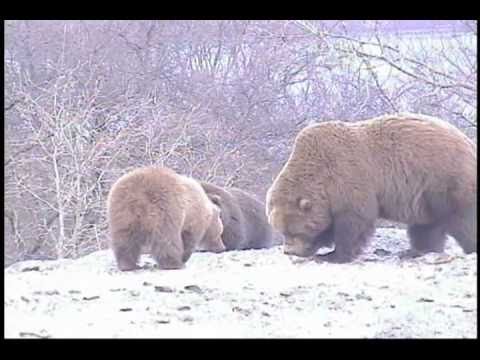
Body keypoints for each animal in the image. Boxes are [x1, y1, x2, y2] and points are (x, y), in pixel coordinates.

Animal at [266, 113, 476, 264]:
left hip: (445, 180)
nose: (289, 251)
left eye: (294, 231)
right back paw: (416, 251)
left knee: (462, 220)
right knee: (426, 226)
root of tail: (469, 143)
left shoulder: (349, 178)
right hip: (425, 196)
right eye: (281, 230)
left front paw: (334, 255)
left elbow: (354, 221)